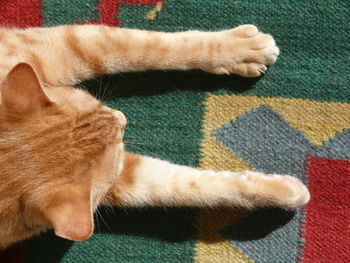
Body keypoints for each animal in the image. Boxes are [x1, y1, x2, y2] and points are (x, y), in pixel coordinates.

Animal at [0, 23, 308, 249]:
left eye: (94, 100)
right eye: (116, 134)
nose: (122, 117)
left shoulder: (59, 47)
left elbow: (147, 47)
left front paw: (238, 49)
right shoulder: (116, 180)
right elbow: (181, 187)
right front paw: (284, 191)